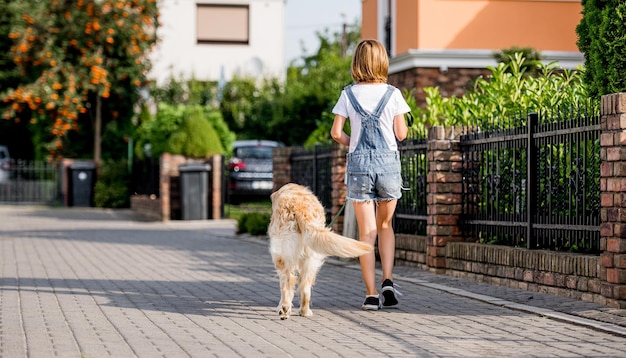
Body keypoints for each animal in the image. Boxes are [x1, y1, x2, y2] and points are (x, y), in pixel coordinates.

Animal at [266, 183, 370, 320]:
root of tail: (300, 208)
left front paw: (280, 307)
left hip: (282, 254)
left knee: (288, 280)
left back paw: (285, 309)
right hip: (311, 258)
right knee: (304, 284)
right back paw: (304, 311)